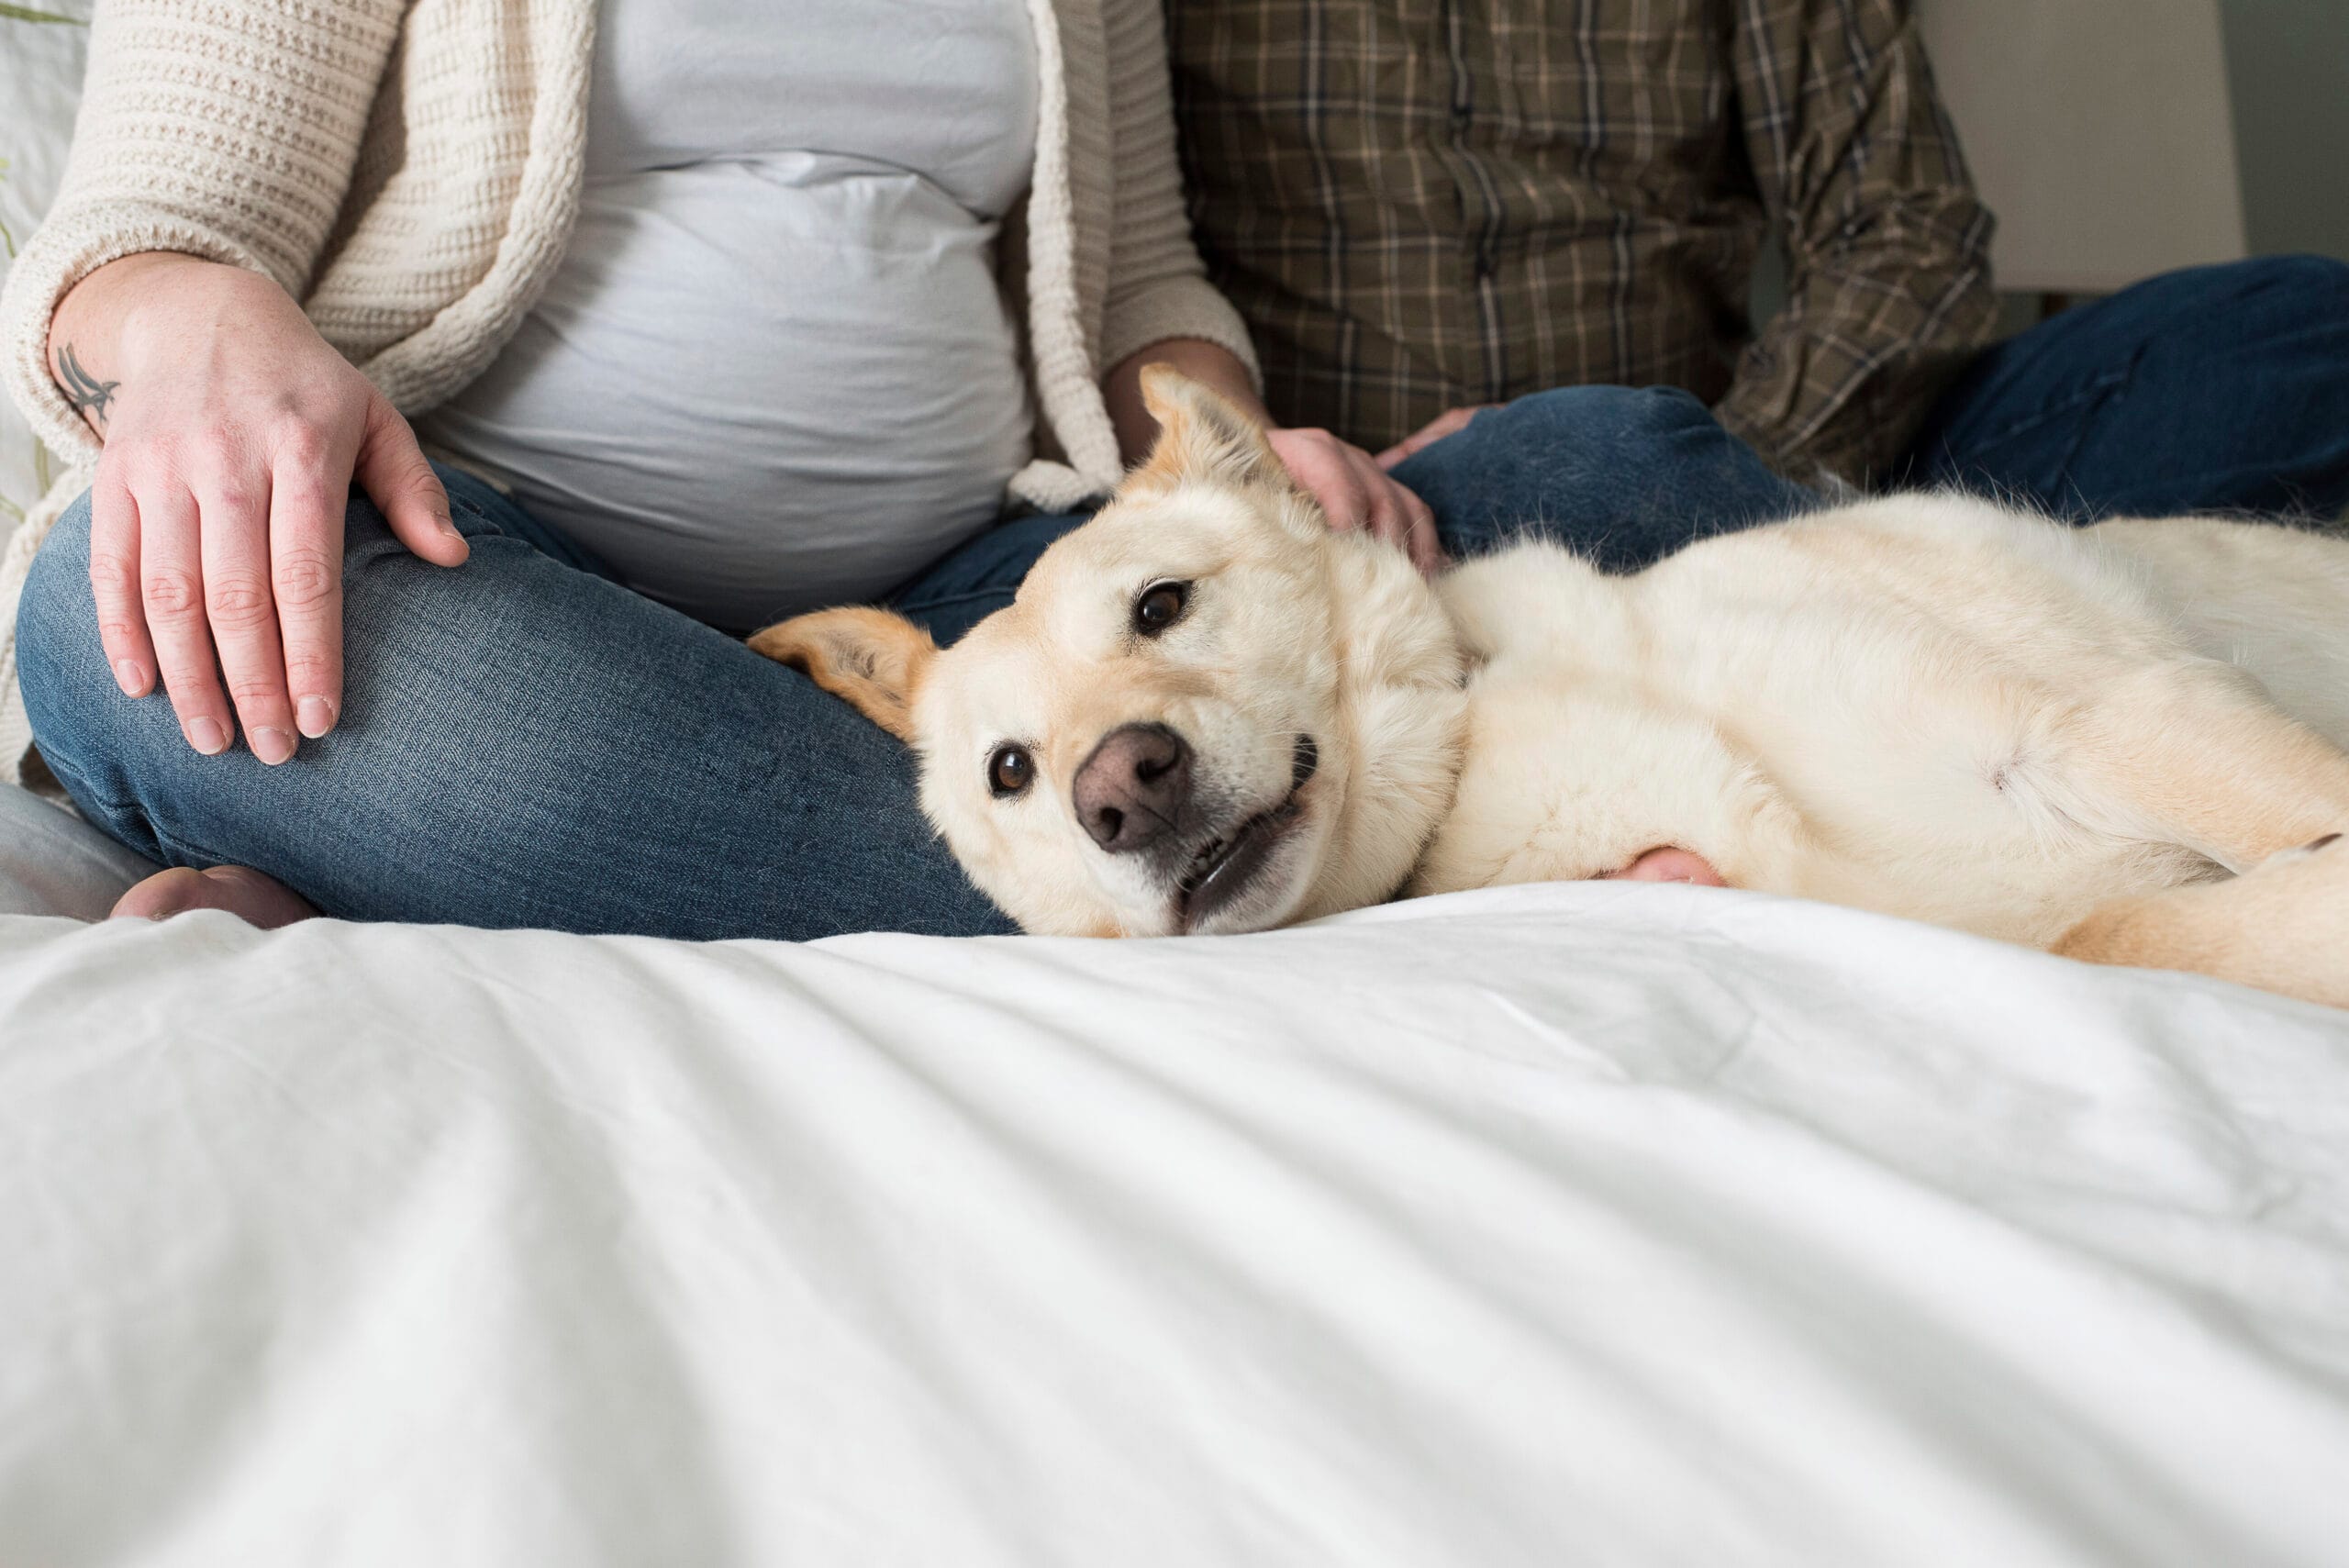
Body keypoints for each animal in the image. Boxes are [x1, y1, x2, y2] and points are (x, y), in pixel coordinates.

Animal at [756, 368, 2349, 1004]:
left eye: (1162, 603)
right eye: (1011, 773)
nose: (1119, 792)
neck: (1489, 720)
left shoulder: (2117, 716)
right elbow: (2142, 930)